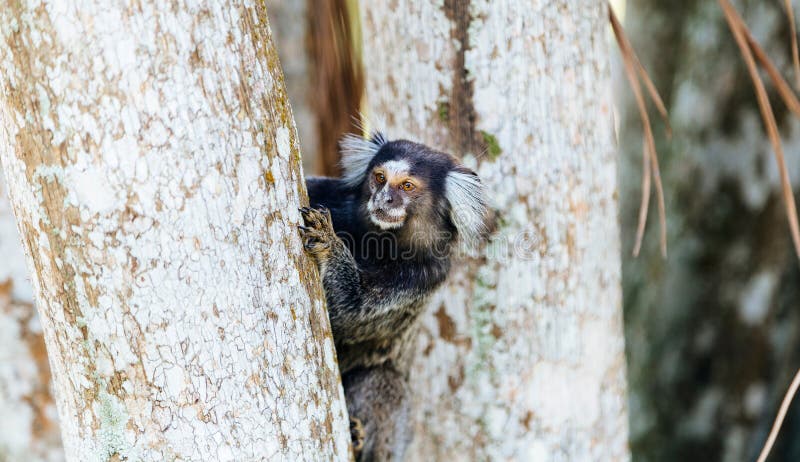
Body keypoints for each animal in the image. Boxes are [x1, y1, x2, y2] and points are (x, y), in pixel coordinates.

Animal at [298, 132, 488, 460]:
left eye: (407, 186)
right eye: (380, 178)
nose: (383, 199)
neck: (380, 241)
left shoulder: (423, 276)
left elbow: (350, 313)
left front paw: (331, 244)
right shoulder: (330, 193)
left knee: (386, 383)